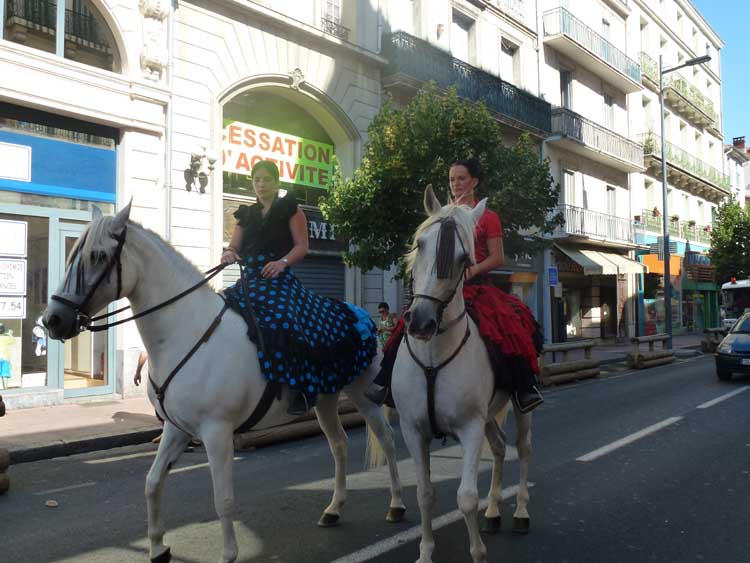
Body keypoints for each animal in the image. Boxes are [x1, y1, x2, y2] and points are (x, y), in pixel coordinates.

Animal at [42, 204, 406, 563]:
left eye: (98, 256)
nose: (52, 320)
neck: (185, 331)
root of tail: (363, 316)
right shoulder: (176, 428)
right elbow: (152, 482)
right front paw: (158, 547)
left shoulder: (216, 432)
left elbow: (223, 499)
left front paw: (229, 554)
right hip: (326, 399)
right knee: (339, 445)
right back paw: (333, 509)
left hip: (365, 395)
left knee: (387, 440)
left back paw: (396, 505)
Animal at [370, 189, 536, 563]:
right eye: (419, 244)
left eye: (462, 258)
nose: (420, 322)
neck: (434, 355)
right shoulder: (413, 430)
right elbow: (425, 494)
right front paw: (425, 552)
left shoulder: (469, 427)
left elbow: (466, 498)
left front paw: (477, 553)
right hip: (489, 415)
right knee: (500, 448)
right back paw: (493, 512)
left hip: (521, 407)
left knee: (522, 449)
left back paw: (520, 512)